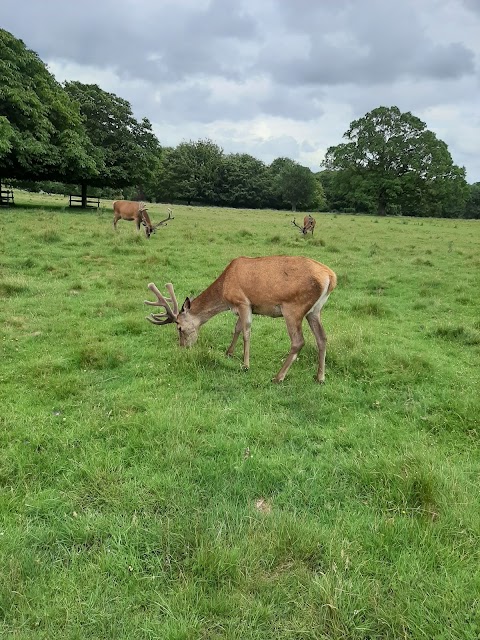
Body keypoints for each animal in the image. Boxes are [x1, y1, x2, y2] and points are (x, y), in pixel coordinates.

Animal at [144, 256, 336, 384]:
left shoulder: (243, 302)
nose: (182, 347)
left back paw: (278, 377)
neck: (224, 290)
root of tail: (331, 277)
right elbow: (236, 328)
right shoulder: (241, 307)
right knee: (322, 337)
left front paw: (245, 365)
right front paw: (228, 352)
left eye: (179, 327)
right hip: (315, 310)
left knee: (298, 341)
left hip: (293, 307)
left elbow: (246, 332)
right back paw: (320, 377)